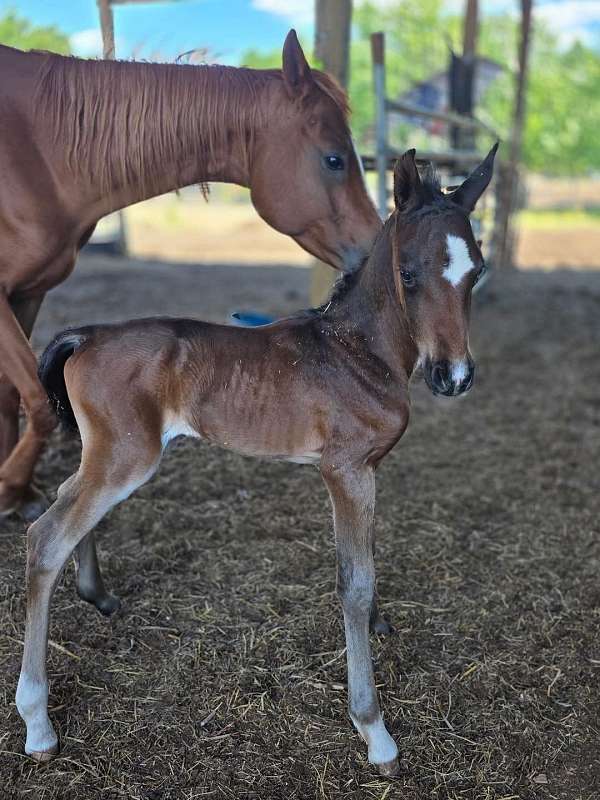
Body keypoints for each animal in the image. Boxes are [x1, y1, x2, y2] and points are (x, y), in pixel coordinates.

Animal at [0, 30, 381, 519]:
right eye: (335, 160)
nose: (375, 245)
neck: (38, 155)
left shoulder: (29, 293)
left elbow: (11, 395)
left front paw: (14, 490)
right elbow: (39, 402)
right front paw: (10, 485)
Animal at [15, 145, 498, 774]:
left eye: (477, 271)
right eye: (409, 274)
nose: (454, 376)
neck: (357, 352)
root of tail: (87, 336)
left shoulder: (369, 470)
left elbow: (368, 563)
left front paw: (380, 625)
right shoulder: (345, 469)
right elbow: (353, 581)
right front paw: (374, 731)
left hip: (108, 454)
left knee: (67, 505)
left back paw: (97, 594)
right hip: (127, 456)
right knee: (47, 536)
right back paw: (37, 723)